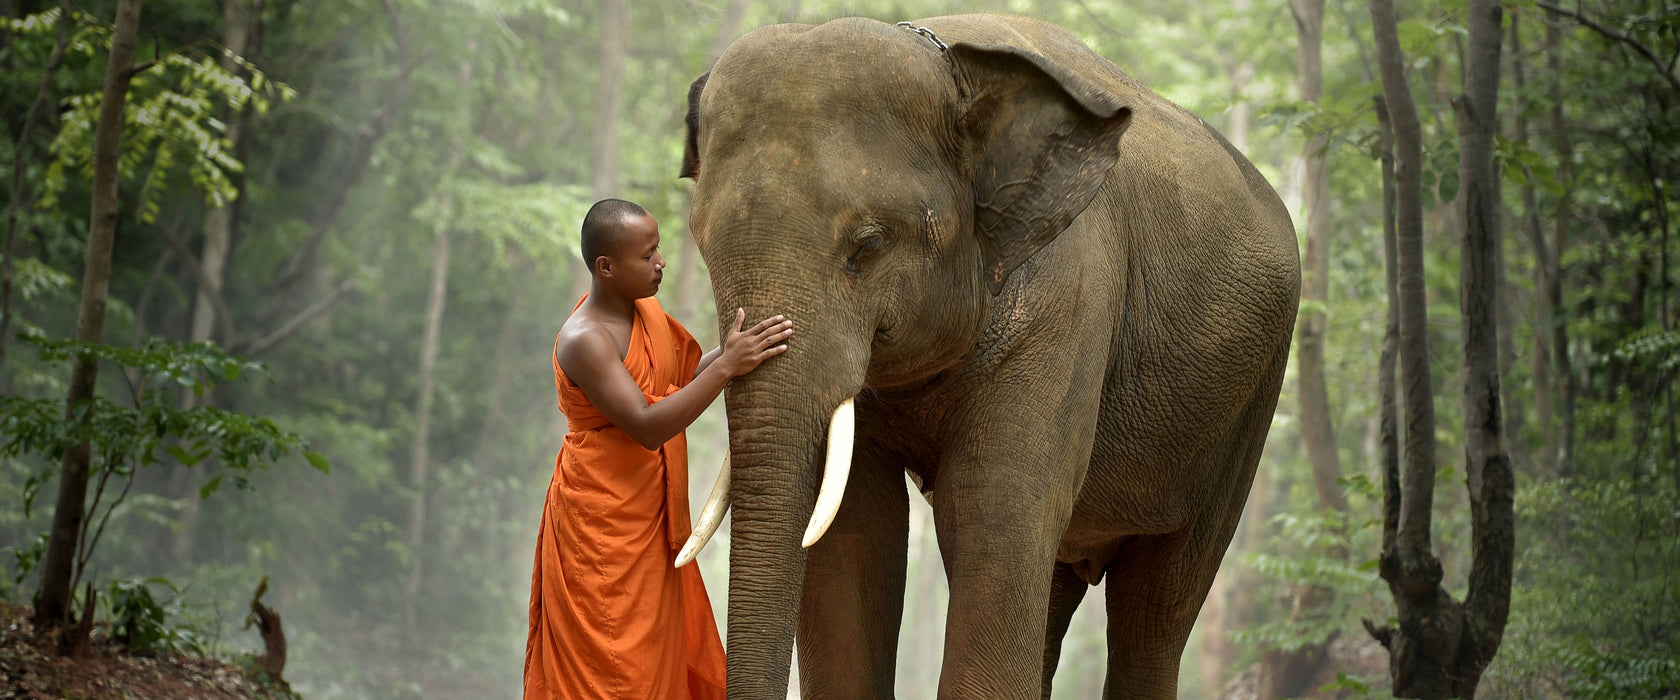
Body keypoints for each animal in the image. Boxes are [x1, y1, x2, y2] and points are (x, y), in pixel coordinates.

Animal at [668, 12, 1296, 698]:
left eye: (868, 246)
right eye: (702, 241)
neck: (949, 63)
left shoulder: (1068, 295)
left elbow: (994, 509)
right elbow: (855, 528)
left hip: (1247, 410)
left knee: (1160, 601)